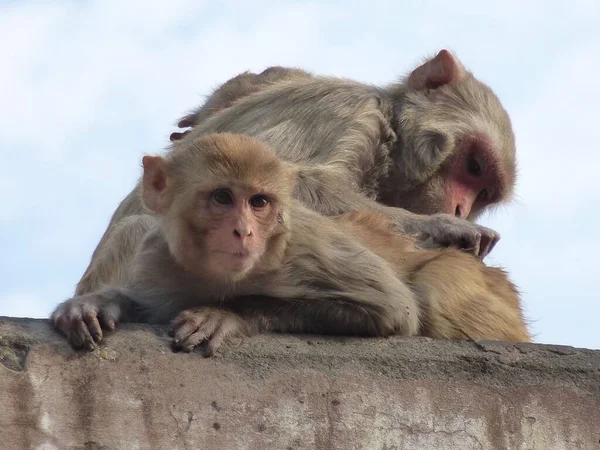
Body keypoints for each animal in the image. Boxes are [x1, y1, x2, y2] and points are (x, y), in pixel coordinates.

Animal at [51, 134, 528, 356]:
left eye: (259, 202)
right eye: (222, 197)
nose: (244, 231)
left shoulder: (306, 246)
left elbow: (392, 307)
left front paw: (226, 315)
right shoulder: (157, 258)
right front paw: (95, 305)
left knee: (434, 289)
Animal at [75, 50, 516, 298]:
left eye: (484, 194)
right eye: (474, 165)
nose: (460, 209)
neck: (391, 136)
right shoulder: (348, 113)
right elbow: (290, 186)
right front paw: (444, 227)